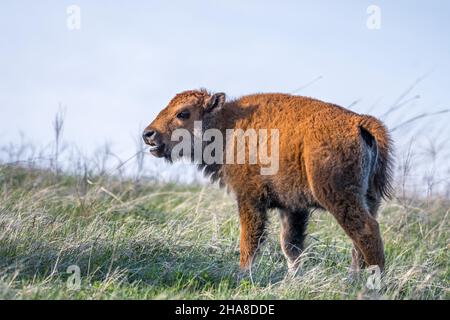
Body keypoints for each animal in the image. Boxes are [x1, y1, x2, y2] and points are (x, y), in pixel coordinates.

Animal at [144, 89, 394, 272]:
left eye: (183, 113)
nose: (148, 134)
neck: (227, 125)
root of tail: (360, 122)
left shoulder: (250, 199)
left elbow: (250, 241)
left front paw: (243, 273)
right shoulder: (293, 208)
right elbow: (291, 246)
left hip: (339, 197)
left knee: (366, 231)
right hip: (369, 199)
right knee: (358, 242)